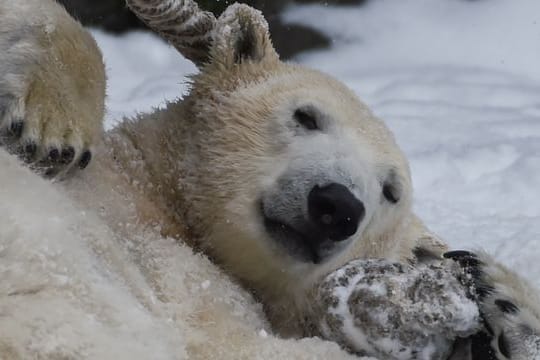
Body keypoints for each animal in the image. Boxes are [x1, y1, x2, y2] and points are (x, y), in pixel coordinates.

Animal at [0, 0, 536, 358]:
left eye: (391, 191)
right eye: (306, 116)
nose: (337, 206)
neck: (160, 194)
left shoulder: (204, 291)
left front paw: (499, 296)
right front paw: (51, 128)